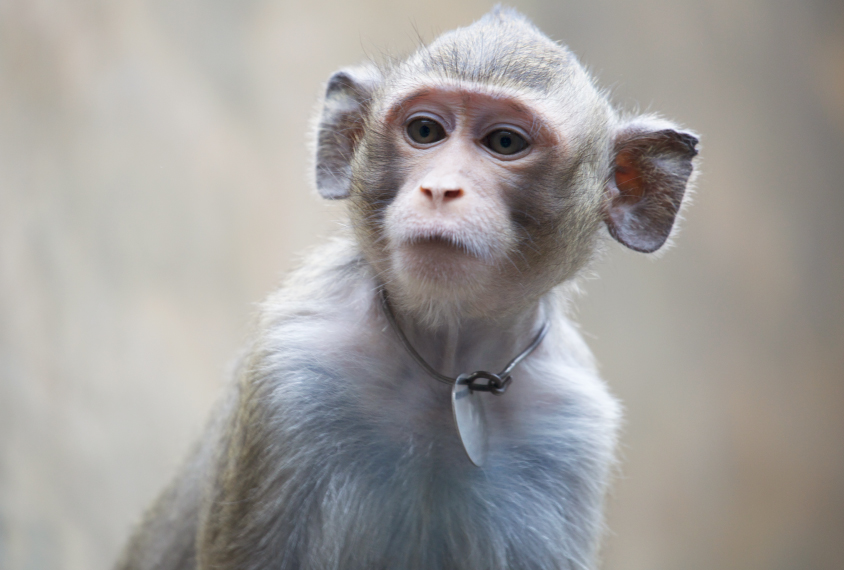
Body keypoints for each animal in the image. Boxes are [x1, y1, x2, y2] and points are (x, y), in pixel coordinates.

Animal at [115, 7, 698, 570]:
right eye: (424, 131)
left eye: (505, 142)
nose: (440, 188)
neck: (447, 360)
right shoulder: (291, 378)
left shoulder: (570, 436)